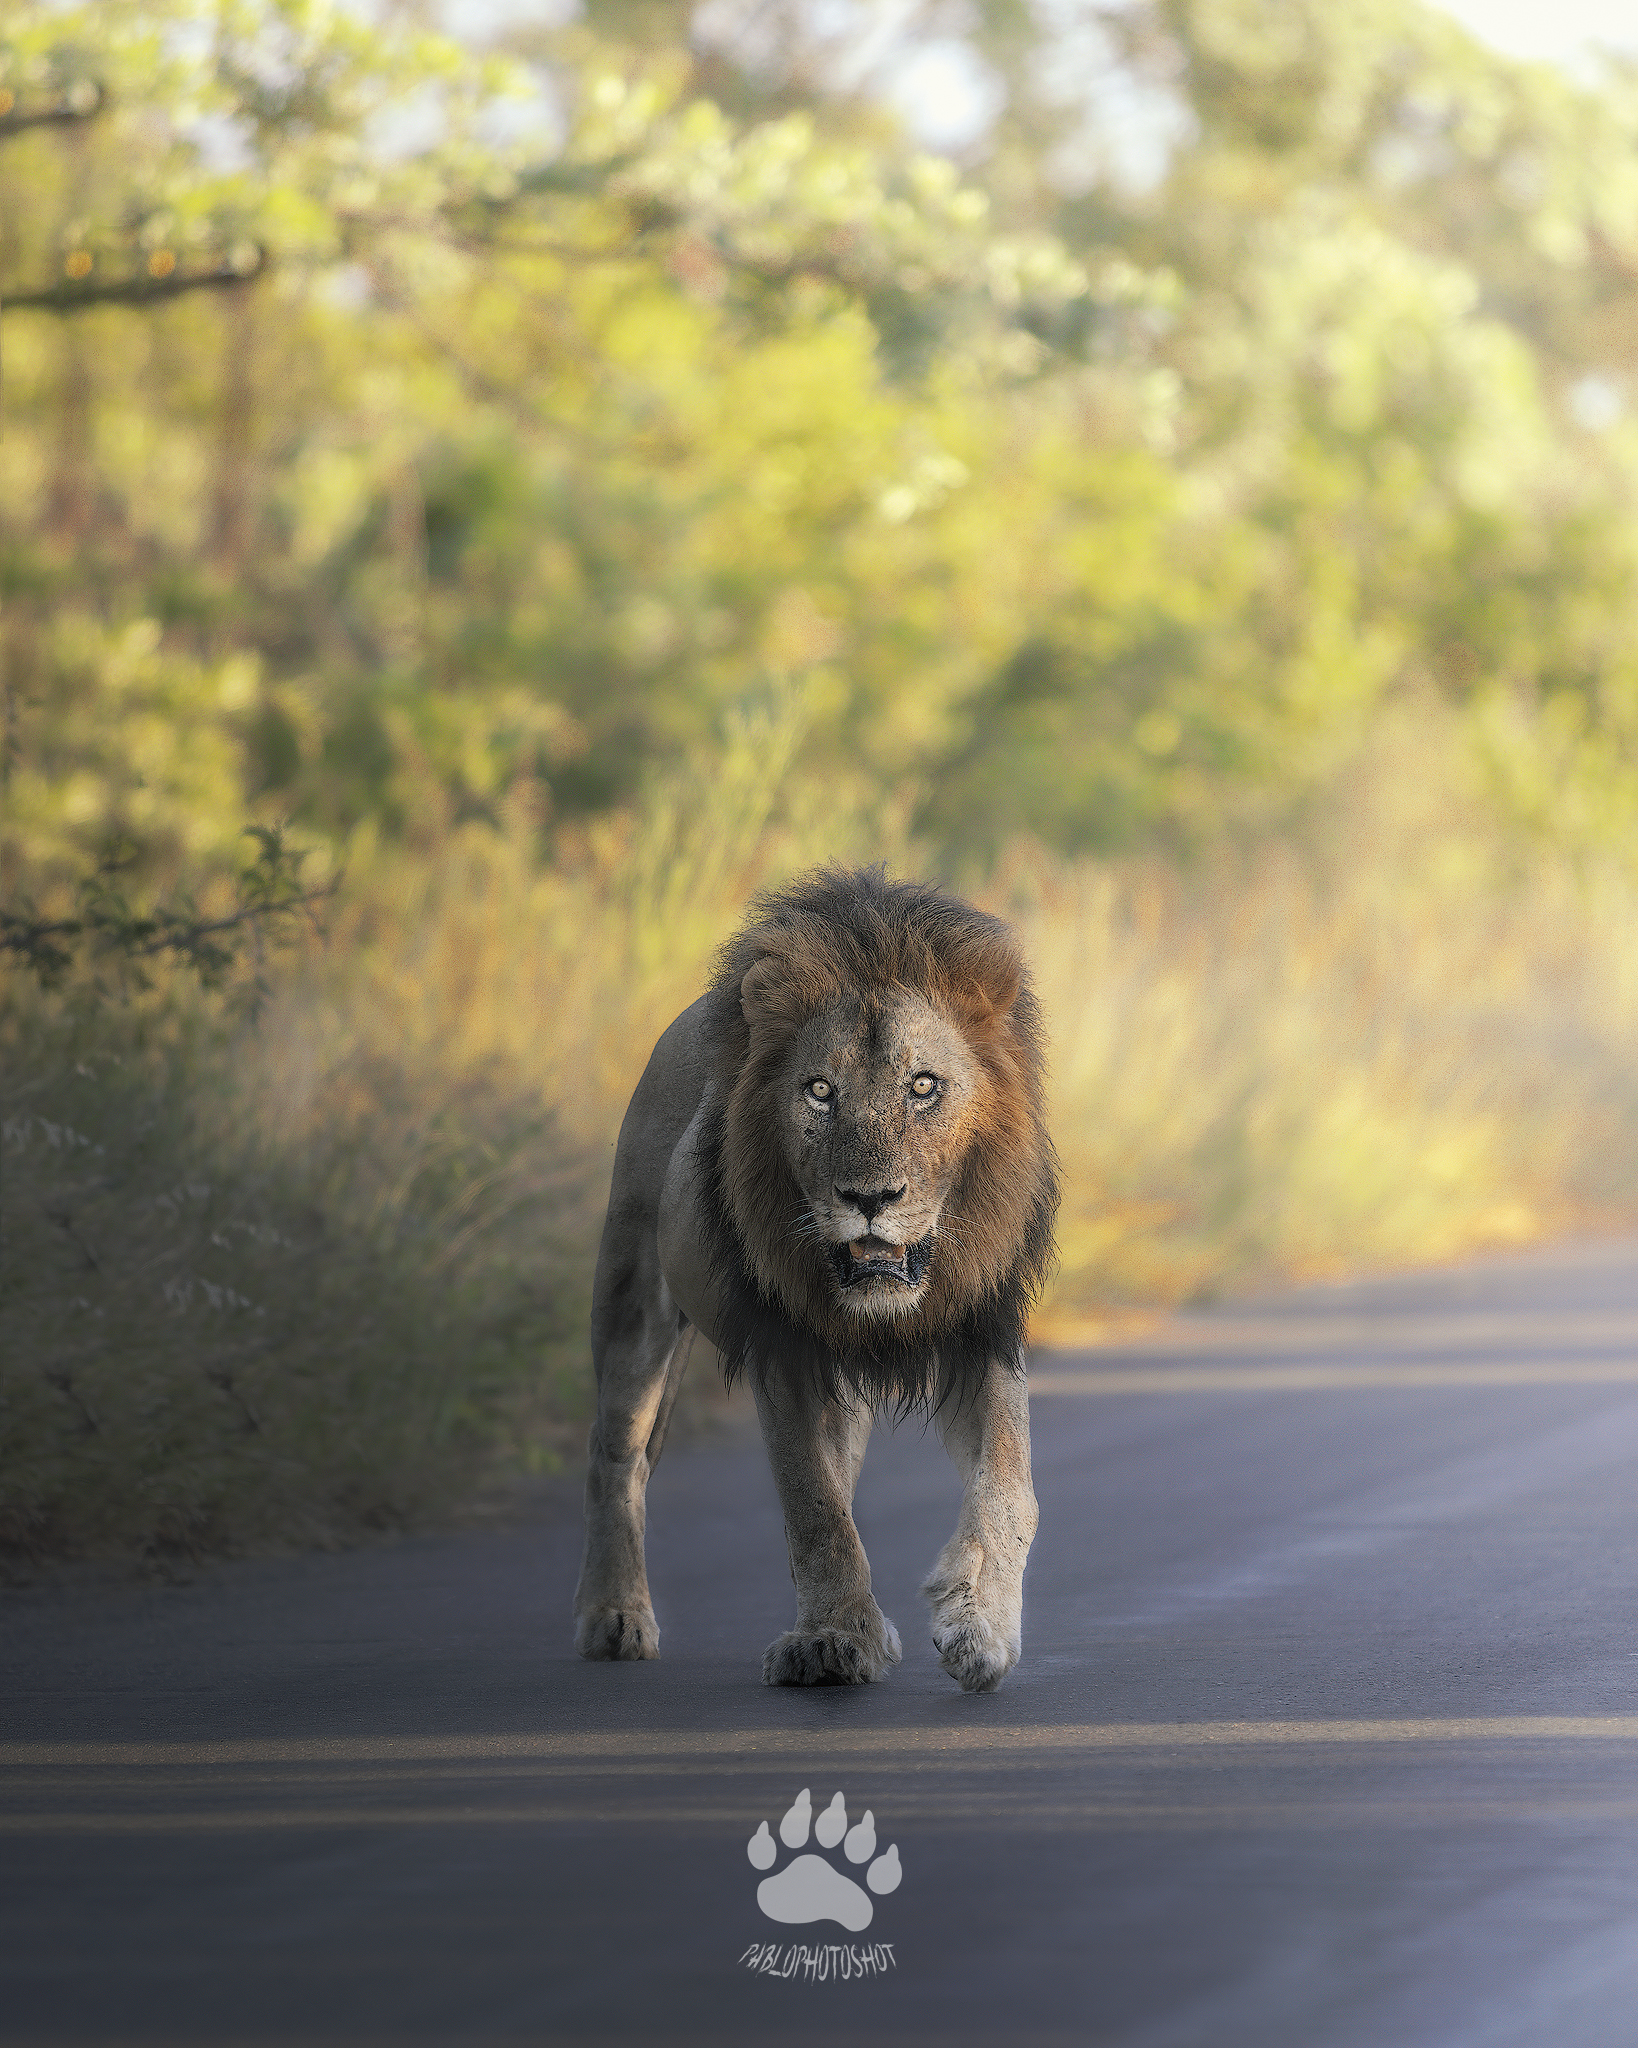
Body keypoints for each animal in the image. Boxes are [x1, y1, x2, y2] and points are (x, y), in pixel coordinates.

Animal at [573, 865, 1058, 1691]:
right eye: (820, 1091)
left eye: (923, 1087)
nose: (869, 1198)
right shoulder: (787, 1352)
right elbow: (815, 1509)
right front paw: (834, 1639)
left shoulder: (981, 1332)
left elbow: (1007, 1491)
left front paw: (980, 1629)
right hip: (632, 1300)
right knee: (618, 1459)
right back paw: (615, 1615)